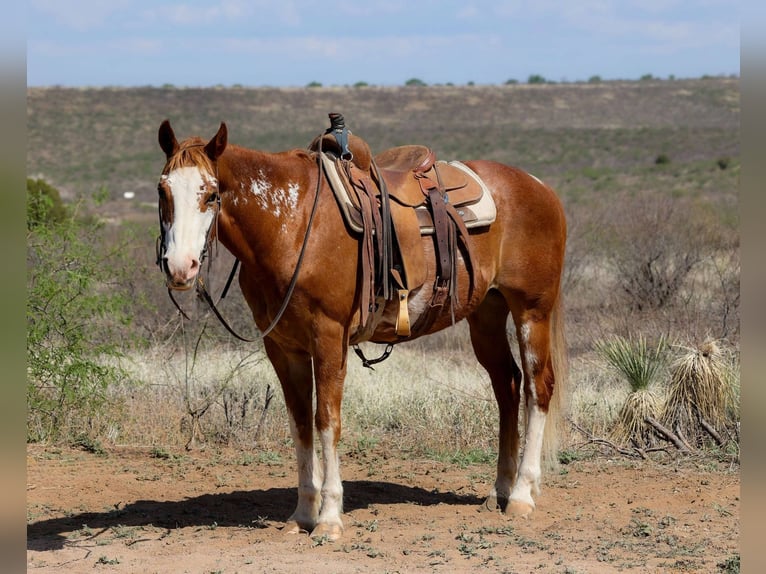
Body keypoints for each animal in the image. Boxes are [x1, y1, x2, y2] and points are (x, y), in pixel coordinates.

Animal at [155, 118, 568, 541]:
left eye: (211, 194)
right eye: (162, 189)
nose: (180, 267)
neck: (292, 223)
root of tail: (539, 187)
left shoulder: (329, 337)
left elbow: (326, 421)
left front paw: (328, 518)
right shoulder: (283, 347)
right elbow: (300, 424)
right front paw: (302, 513)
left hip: (531, 311)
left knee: (537, 388)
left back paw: (521, 495)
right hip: (486, 314)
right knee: (508, 386)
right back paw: (499, 490)